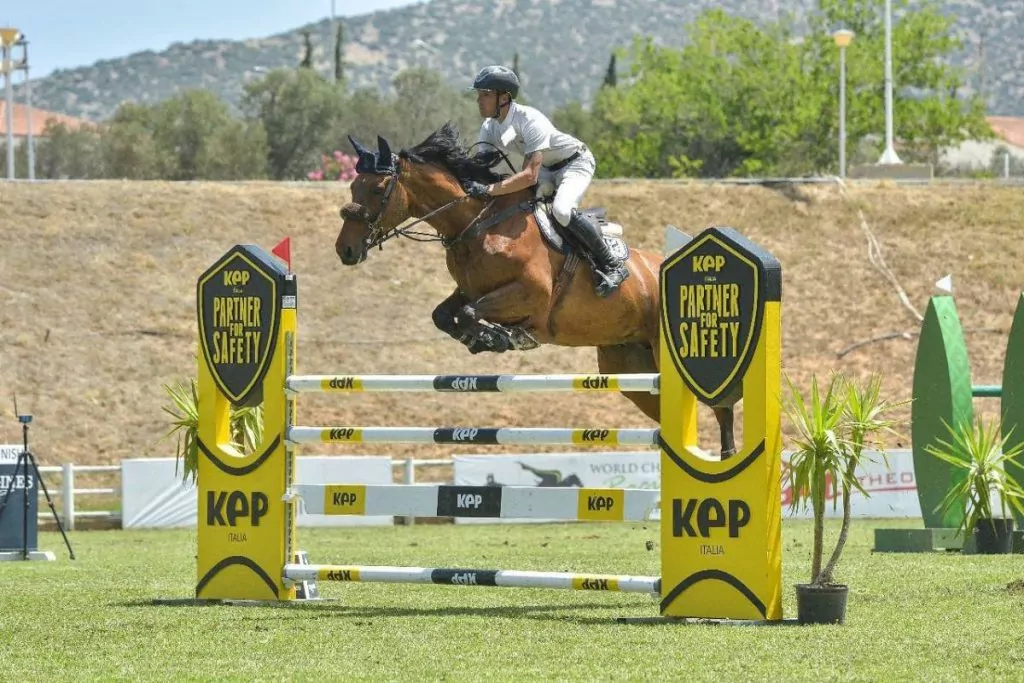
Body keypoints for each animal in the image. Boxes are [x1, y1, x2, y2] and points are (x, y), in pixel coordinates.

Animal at [335, 123, 737, 458]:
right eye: (353, 186)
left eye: (377, 188)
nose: (346, 250)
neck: (477, 223)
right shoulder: (470, 289)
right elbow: (446, 315)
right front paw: (484, 338)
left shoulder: (530, 295)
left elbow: (470, 313)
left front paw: (500, 337)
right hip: (631, 368)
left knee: (720, 403)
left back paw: (727, 456)